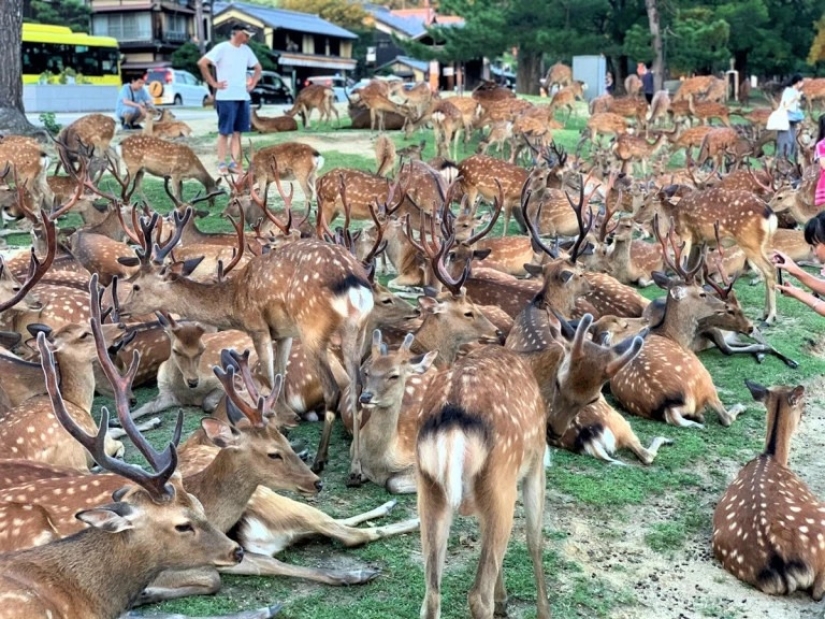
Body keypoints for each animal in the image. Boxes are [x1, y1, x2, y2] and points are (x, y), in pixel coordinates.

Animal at [116, 211, 374, 486]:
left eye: (136, 285)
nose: (121, 309)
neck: (234, 302)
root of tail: (354, 284)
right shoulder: (284, 333)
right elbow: (279, 377)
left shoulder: (258, 326)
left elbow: (269, 379)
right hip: (355, 330)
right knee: (356, 388)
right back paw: (355, 470)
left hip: (312, 329)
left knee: (333, 389)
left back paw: (320, 459)